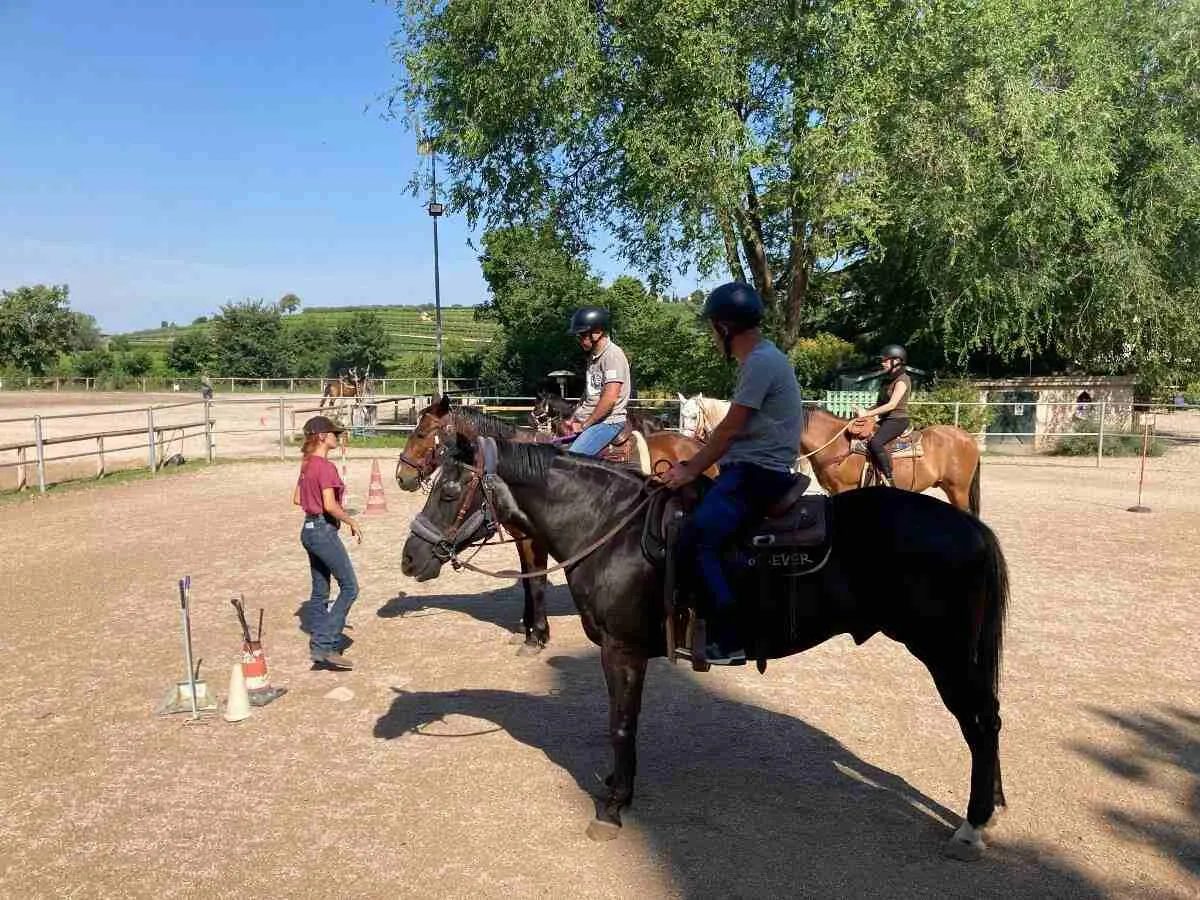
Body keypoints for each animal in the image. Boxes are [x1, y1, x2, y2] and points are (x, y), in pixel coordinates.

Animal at [393, 397, 711, 651]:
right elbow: (526, 579)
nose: (401, 476)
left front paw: (537, 634)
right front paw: (526, 625)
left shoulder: (532, 539)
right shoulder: (524, 536)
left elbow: (536, 581)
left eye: (421, 433)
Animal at [401, 434, 1009, 860]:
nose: (410, 558)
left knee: (980, 724)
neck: (609, 528)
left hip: (946, 654)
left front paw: (614, 806)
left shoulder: (621, 651)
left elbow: (621, 724)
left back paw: (972, 825)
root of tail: (970, 528)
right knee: (987, 721)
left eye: (450, 491)